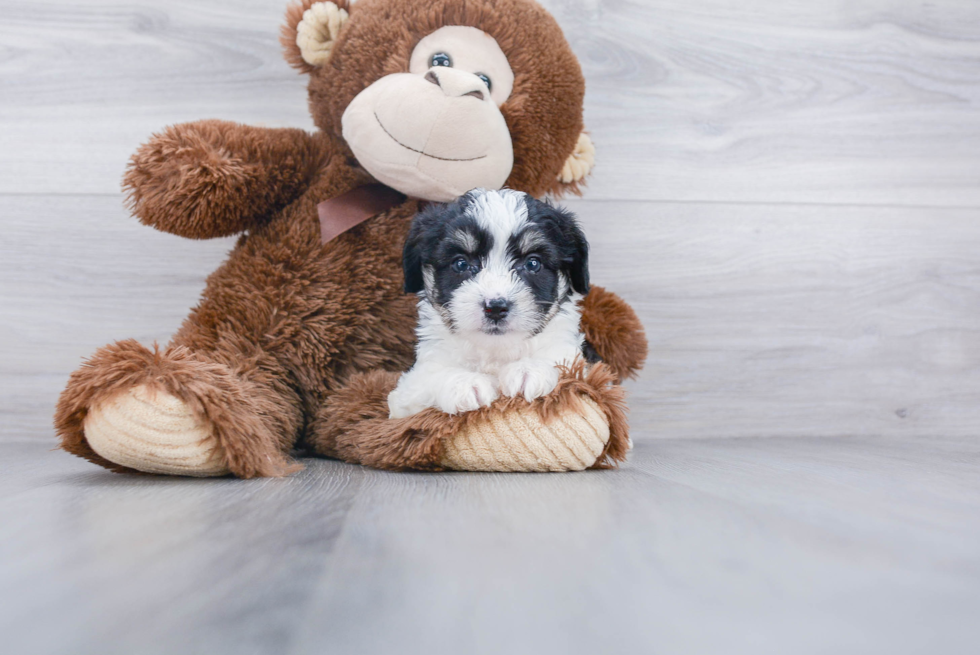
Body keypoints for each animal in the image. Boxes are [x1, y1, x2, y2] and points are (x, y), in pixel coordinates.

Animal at [388, 187, 588, 418]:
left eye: (533, 263)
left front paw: (529, 369)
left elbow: (561, 358)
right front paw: (464, 383)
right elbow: (429, 375)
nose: (496, 307)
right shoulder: (407, 390)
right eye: (461, 263)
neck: (495, 352)